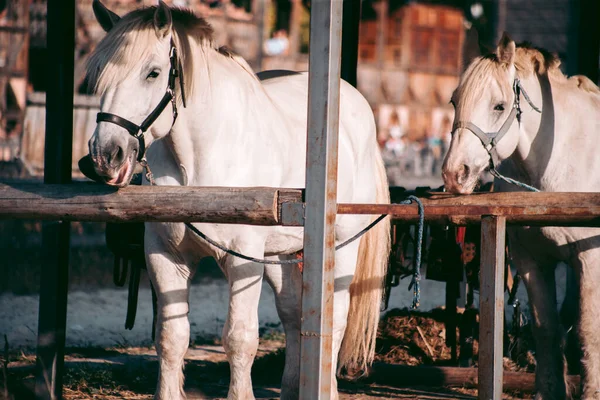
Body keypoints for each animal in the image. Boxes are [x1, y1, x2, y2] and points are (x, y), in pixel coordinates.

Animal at [86, 1, 392, 398]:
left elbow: (240, 338)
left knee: (335, 320)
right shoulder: (165, 257)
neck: (198, 163)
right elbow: (171, 337)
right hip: (280, 253)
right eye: (100, 75)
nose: (104, 157)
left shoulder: (242, 262)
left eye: (153, 73)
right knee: (292, 313)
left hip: (341, 246)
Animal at [442, 32, 600, 398]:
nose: (455, 174)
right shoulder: (530, 260)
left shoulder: (589, 259)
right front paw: (549, 391)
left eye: (499, 106)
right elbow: (546, 328)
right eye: (455, 101)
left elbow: (588, 330)